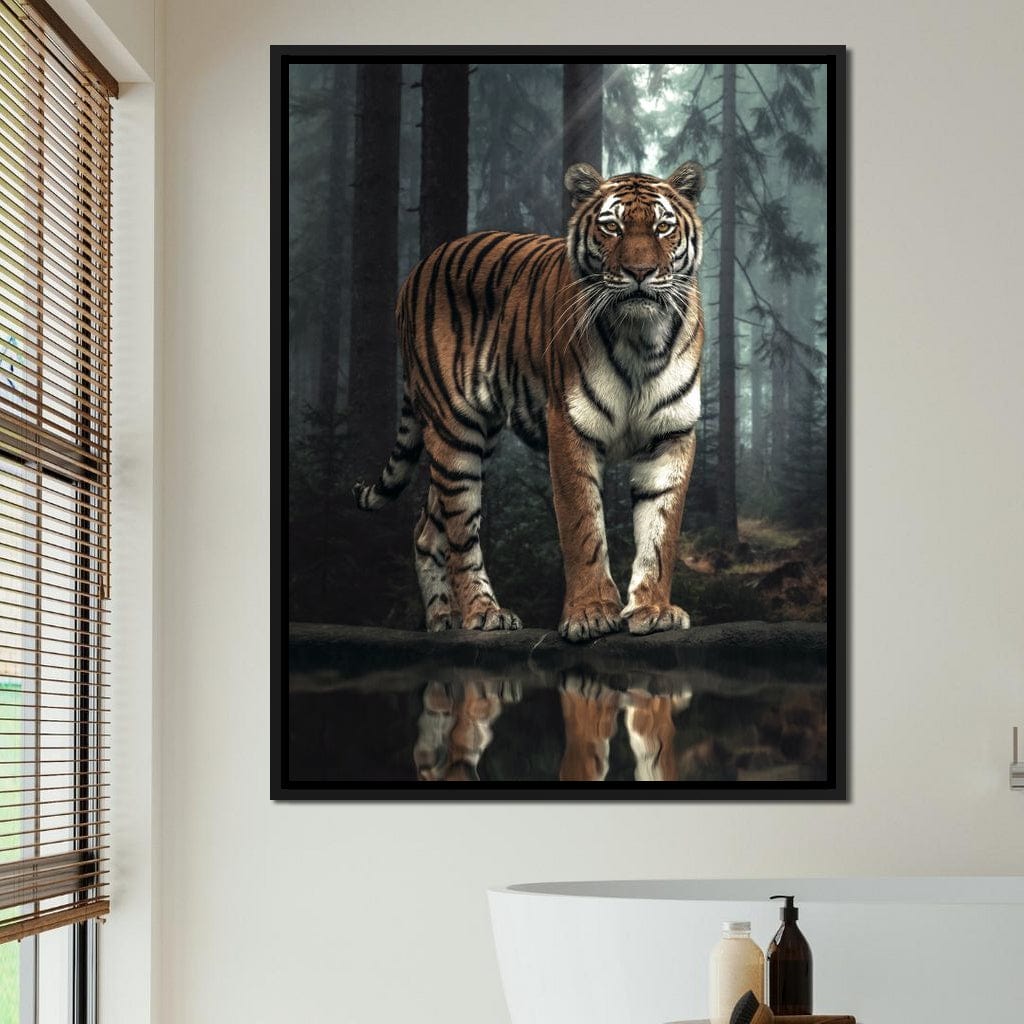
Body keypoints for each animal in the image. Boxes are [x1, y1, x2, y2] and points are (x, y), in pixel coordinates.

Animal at [354, 160, 705, 643]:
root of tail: (418, 267)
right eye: (611, 227)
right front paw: (591, 614)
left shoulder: (671, 435)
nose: (640, 272)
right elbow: (582, 527)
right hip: (455, 431)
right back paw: (483, 614)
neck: (641, 338)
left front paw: (653, 610)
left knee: (428, 528)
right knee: (460, 532)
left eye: (663, 227)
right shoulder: (569, 426)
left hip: (476, 436)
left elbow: (660, 532)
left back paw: (442, 621)